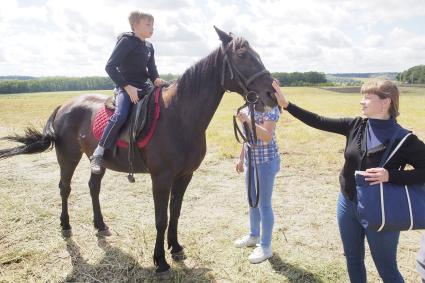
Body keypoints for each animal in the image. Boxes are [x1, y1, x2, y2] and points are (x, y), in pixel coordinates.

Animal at [0, 27, 276, 280]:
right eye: (242, 55)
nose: (271, 94)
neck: (179, 115)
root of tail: (64, 105)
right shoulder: (161, 178)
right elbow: (161, 218)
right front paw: (160, 261)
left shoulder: (185, 175)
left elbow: (175, 213)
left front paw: (176, 248)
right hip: (68, 157)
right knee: (64, 188)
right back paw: (66, 226)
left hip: (96, 161)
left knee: (93, 187)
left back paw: (100, 225)